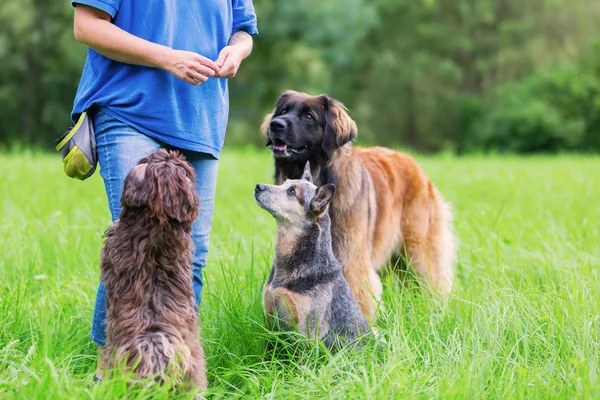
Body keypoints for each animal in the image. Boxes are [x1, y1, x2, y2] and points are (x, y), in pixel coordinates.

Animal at [260, 91, 458, 322]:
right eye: (283, 111)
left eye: (309, 116)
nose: (276, 124)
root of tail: (411, 160)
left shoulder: (351, 259)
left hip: (418, 250)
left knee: (433, 281)